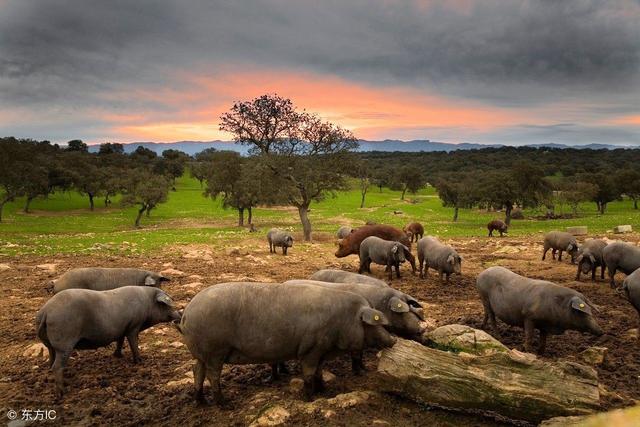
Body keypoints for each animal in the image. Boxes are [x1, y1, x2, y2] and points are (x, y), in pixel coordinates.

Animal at [36, 288, 180, 398]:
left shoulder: (122, 329)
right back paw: (62, 392)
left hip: (51, 345)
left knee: (51, 360)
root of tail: (46, 312)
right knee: (57, 366)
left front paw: (118, 355)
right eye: (167, 304)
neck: (147, 303)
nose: (179, 313)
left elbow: (120, 341)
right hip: (64, 343)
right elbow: (133, 343)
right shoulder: (133, 326)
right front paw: (140, 361)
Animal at [176, 284, 396, 404]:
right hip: (215, 350)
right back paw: (224, 404)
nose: (393, 340)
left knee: (197, 371)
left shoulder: (322, 351)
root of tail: (186, 314)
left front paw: (324, 391)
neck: (343, 319)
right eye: (371, 324)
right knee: (212, 375)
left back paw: (201, 402)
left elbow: (319, 372)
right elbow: (308, 374)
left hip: (201, 353)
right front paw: (310, 398)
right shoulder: (310, 349)